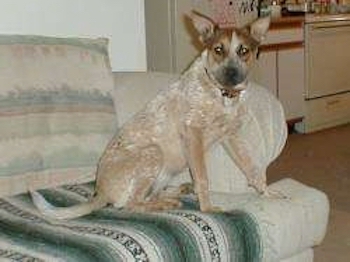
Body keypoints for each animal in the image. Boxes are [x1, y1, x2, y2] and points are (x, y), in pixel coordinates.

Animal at [32, 12, 274, 219]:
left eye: (244, 50)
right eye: (218, 49)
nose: (231, 74)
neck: (221, 95)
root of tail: (99, 192)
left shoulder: (231, 136)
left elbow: (251, 168)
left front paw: (267, 192)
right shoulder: (193, 133)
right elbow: (203, 178)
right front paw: (207, 208)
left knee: (149, 195)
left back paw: (176, 191)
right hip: (153, 153)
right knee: (131, 204)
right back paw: (165, 203)